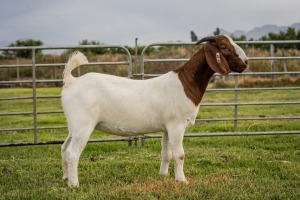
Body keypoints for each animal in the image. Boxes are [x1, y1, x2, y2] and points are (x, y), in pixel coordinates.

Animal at [61, 35, 248, 187]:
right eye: (223, 46)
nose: (246, 62)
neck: (186, 83)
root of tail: (71, 81)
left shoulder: (167, 127)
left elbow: (167, 153)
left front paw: (164, 176)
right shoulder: (177, 125)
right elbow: (179, 154)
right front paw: (182, 180)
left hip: (74, 126)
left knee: (64, 147)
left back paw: (65, 178)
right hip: (83, 125)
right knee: (72, 152)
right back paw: (74, 184)